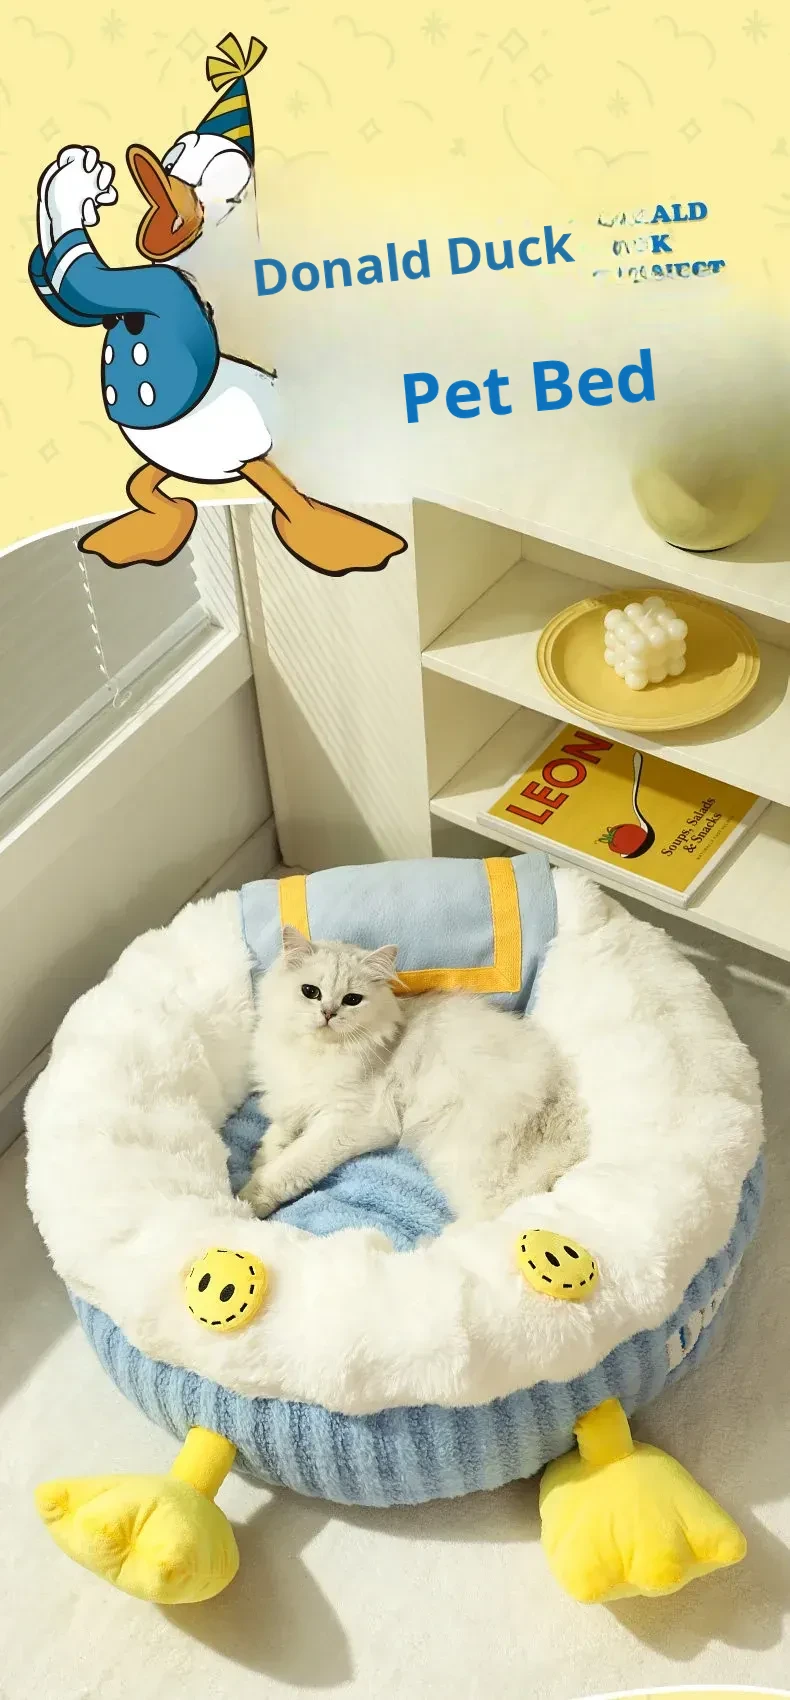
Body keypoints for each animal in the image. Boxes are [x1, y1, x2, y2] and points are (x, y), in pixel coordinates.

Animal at [240, 926, 587, 1222]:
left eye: (352, 1000)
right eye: (310, 991)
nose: (328, 1013)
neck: (317, 1054)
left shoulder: (349, 1122)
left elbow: (291, 1165)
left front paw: (248, 1199)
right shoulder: (291, 1099)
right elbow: (277, 1136)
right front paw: (260, 1159)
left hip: (464, 1153)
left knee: (487, 1221)